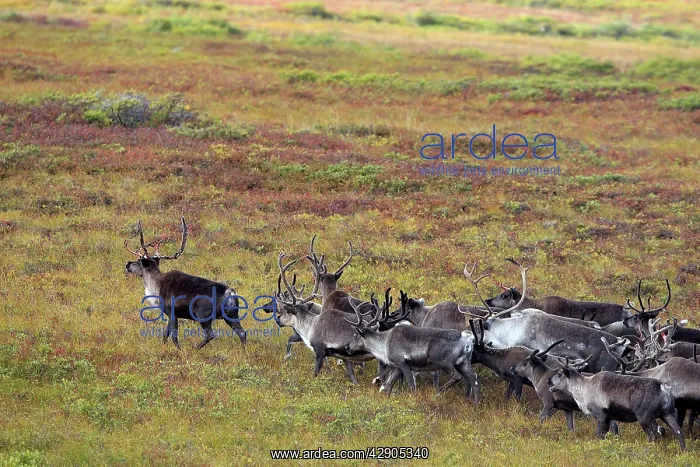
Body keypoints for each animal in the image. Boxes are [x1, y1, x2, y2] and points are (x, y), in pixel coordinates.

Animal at [124, 217, 246, 350]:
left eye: (138, 261)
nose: (127, 264)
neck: (155, 285)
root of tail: (230, 293)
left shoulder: (172, 312)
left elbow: (174, 336)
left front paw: (179, 350)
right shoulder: (171, 314)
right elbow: (165, 334)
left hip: (203, 315)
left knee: (211, 335)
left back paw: (195, 348)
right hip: (232, 314)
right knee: (242, 332)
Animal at [344, 290, 480, 404]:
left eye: (355, 335)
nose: (347, 347)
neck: (384, 342)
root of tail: (467, 339)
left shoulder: (403, 363)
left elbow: (411, 386)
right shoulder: (397, 367)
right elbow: (388, 386)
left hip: (443, 362)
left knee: (457, 376)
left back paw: (438, 392)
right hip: (463, 363)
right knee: (474, 380)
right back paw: (475, 404)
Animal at [548, 363, 686, 450]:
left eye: (559, 373)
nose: (548, 381)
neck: (583, 390)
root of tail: (662, 386)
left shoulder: (601, 415)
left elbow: (599, 435)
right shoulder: (609, 418)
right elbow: (606, 435)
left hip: (644, 417)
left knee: (653, 435)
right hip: (668, 413)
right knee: (679, 432)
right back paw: (683, 451)